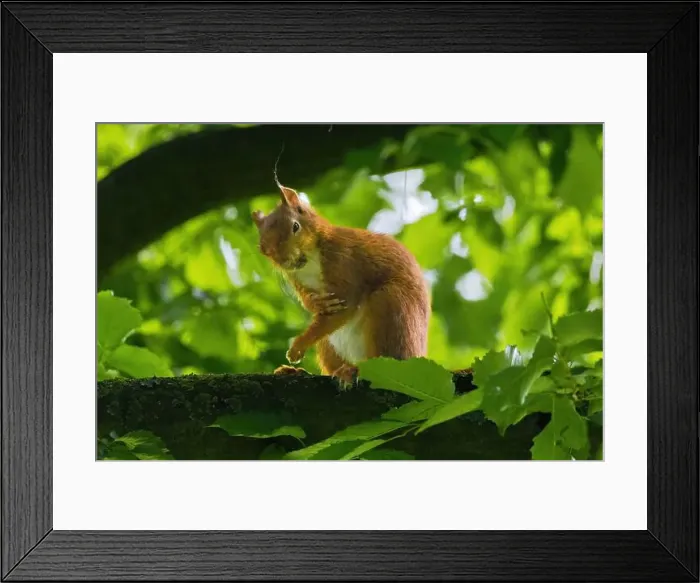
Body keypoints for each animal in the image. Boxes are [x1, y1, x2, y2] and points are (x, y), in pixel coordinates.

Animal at [252, 181, 431, 385]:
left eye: (295, 226)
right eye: (263, 248)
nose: (285, 261)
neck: (310, 261)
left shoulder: (343, 260)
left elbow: (346, 306)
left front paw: (298, 346)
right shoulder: (295, 278)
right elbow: (311, 303)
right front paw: (315, 303)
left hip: (391, 307)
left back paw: (353, 371)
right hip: (328, 347)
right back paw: (298, 371)